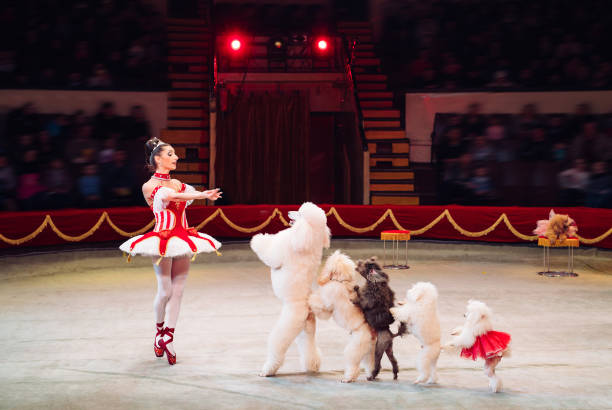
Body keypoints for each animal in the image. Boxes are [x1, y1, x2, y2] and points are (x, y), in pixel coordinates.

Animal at [251, 202, 332, 378]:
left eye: (300, 213)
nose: (288, 212)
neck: (311, 236)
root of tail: (307, 307)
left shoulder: (282, 248)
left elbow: (270, 254)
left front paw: (258, 239)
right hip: (307, 328)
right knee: (309, 347)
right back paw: (313, 366)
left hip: (288, 326)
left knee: (277, 346)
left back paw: (267, 370)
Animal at [308, 251, 376, 382]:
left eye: (328, 262)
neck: (341, 281)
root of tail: (372, 333)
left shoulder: (327, 306)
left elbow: (318, 304)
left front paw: (309, 299)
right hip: (368, 352)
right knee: (370, 364)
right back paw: (370, 375)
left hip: (353, 350)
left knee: (353, 366)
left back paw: (348, 378)